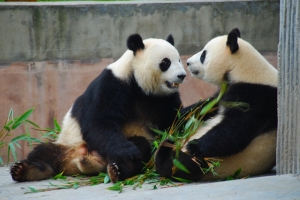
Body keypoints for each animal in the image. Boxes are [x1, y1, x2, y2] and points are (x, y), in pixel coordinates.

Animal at [10, 33, 186, 184]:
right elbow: (99, 122)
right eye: (166, 62)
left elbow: (173, 120)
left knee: (141, 146)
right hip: (67, 143)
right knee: (44, 152)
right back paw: (27, 170)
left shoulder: (162, 98)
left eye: (179, 59)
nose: (182, 75)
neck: (139, 84)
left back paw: (117, 170)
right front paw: (129, 151)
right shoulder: (112, 84)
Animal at [156, 28, 278, 183]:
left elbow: (235, 130)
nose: (188, 62)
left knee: (180, 163)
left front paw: (195, 146)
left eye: (203, 55)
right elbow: (205, 107)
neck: (243, 69)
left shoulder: (256, 96)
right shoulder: (224, 92)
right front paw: (177, 120)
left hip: (212, 164)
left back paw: (168, 149)